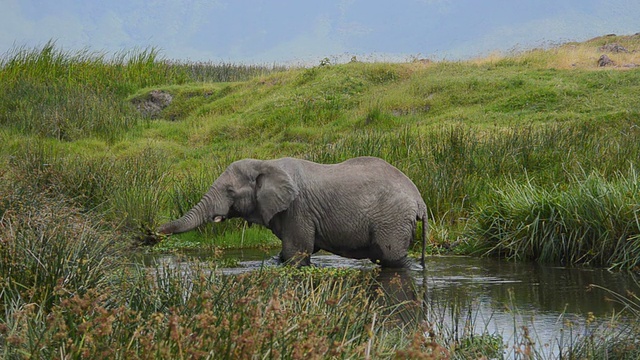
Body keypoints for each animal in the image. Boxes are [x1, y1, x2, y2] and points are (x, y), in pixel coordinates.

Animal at [159, 156, 430, 268]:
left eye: (229, 191)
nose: (157, 231)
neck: (266, 163)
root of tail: (420, 201)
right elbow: (288, 254)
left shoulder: (297, 209)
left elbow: (295, 253)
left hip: (392, 220)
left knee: (392, 259)